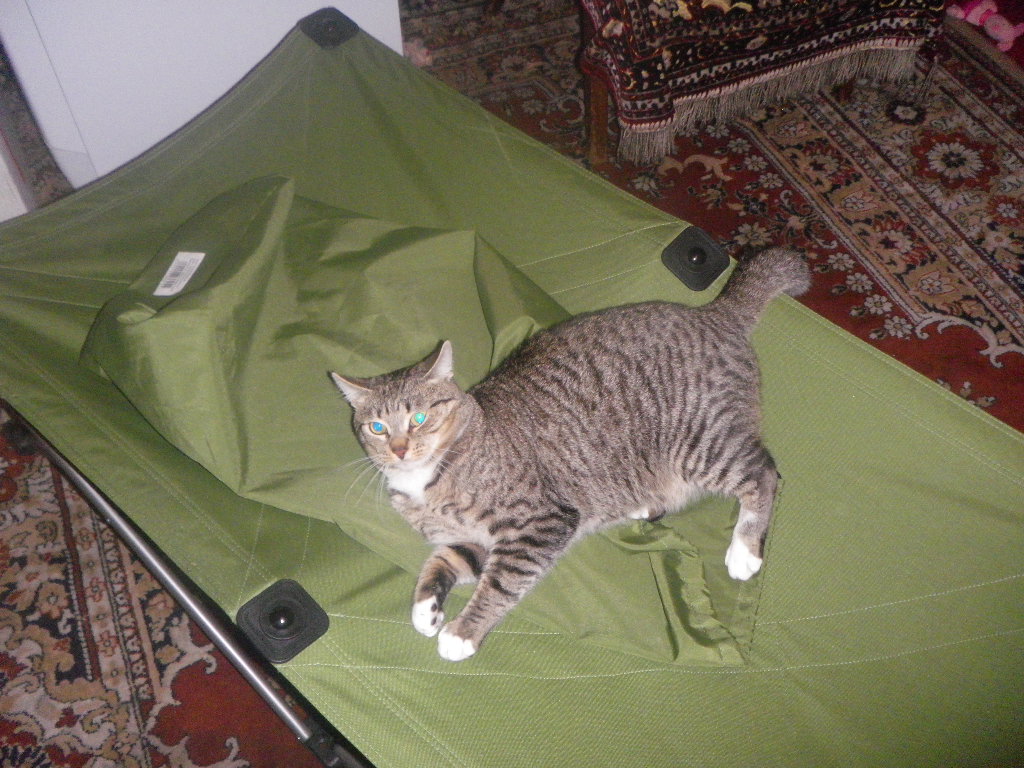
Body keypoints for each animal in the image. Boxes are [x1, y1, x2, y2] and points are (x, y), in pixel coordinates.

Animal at [330, 247, 810, 661]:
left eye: (419, 418)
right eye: (377, 427)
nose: (399, 449)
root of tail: (713, 313)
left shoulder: (540, 522)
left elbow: (501, 584)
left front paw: (463, 633)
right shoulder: (470, 541)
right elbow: (440, 563)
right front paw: (425, 608)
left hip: (699, 443)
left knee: (764, 472)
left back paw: (744, 549)